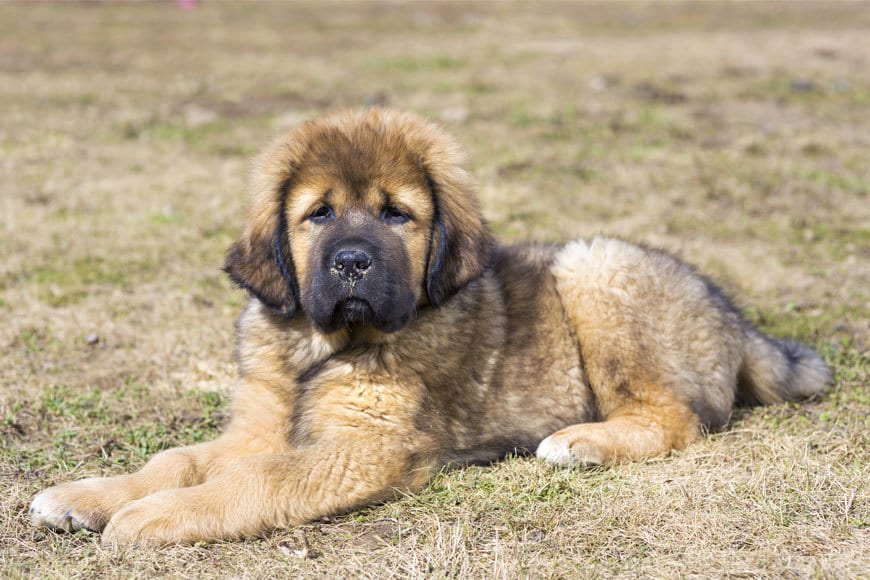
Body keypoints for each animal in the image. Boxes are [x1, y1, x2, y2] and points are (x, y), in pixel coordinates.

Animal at [27, 107, 832, 544]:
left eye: (396, 215)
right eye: (317, 214)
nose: (352, 262)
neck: (317, 348)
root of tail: (733, 315)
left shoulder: (364, 449)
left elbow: (255, 479)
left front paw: (154, 516)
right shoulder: (257, 425)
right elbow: (180, 460)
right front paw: (90, 495)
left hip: (593, 268)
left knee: (678, 417)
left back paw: (579, 442)